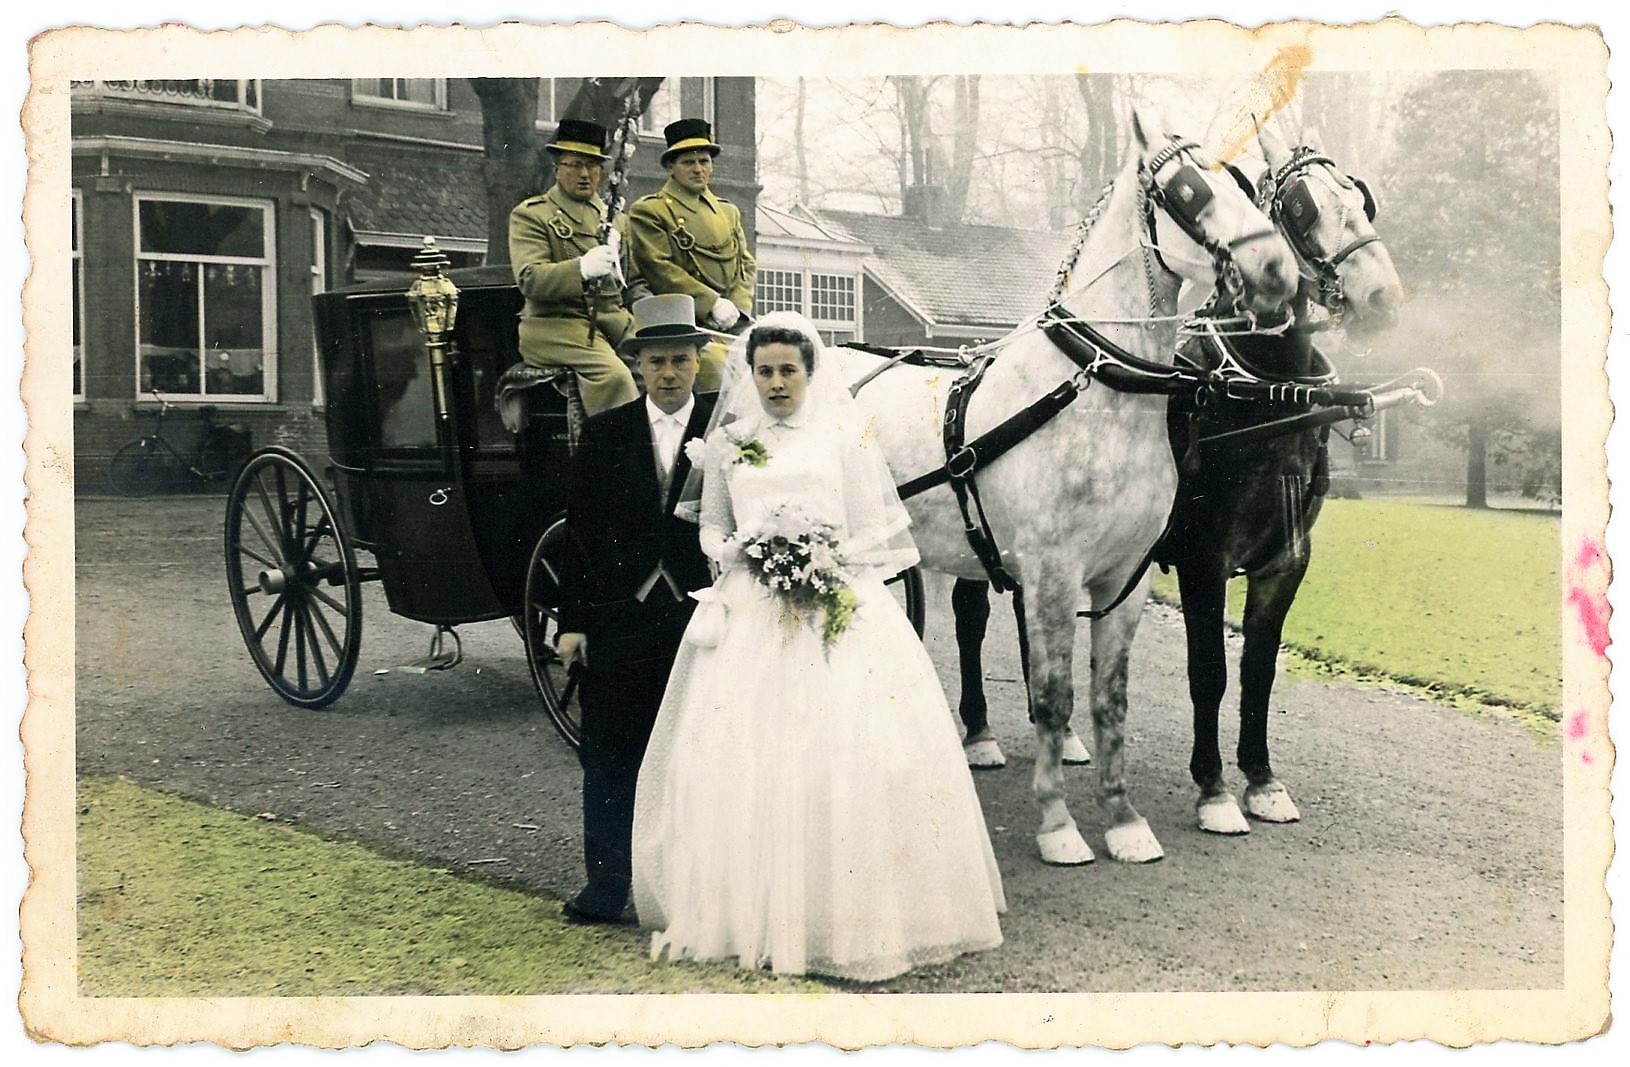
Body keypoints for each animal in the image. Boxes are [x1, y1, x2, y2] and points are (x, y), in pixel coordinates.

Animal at [840, 111, 1296, 864]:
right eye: (1187, 189)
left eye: (1238, 179)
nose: (1277, 270)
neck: (1094, 386)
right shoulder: (1053, 574)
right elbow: (1054, 696)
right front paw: (1057, 823)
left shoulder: (1124, 579)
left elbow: (1109, 700)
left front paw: (1122, 818)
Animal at [1159, 120, 1404, 834]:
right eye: (1302, 206)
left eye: (1359, 195)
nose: (1383, 297)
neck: (1264, 390)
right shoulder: (1203, 559)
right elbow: (1209, 670)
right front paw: (1213, 788)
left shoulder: (1286, 560)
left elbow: (1259, 669)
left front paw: (1262, 778)